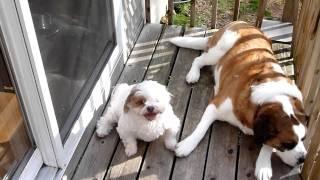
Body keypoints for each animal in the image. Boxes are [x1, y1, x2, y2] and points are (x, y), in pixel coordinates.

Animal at [170, 21, 308, 180]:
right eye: (287, 144)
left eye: (304, 139)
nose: (303, 159)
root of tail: (243, 22)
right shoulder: (214, 106)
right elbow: (201, 129)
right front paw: (187, 144)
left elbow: (267, 144)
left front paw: (263, 164)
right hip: (219, 49)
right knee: (199, 60)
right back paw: (193, 74)